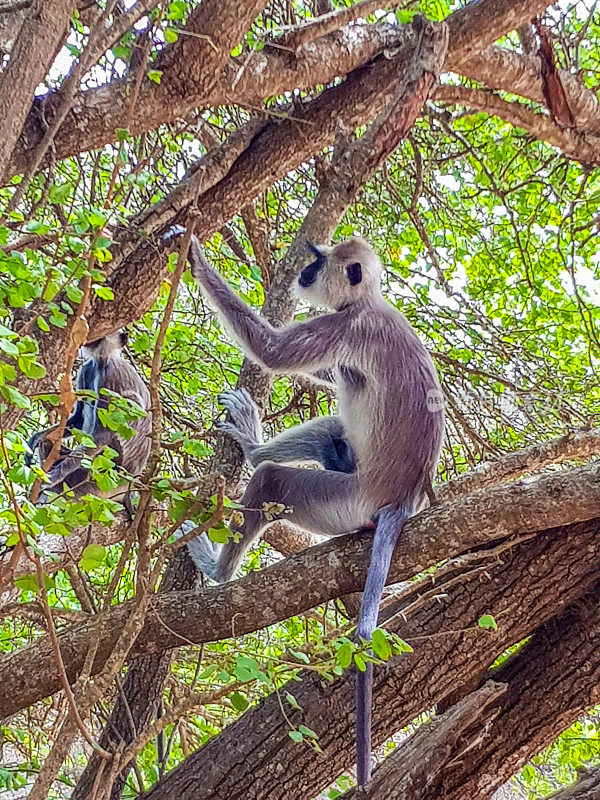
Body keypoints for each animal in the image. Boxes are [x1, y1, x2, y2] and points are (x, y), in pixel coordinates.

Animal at [25, 330, 151, 504]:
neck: (101, 362)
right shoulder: (86, 369)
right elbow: (78, 420)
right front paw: (35, 439)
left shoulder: (110, 378)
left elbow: (101, 435)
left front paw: (53, 477)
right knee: (47, 443)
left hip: (105, 476)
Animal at [185, 234, 442, 784]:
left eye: (320, 262)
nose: (304, 270)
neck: (368, 304)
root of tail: (402, 499)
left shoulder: (347, 328)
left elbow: (273, 352)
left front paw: (194, 256)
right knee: (330, 434)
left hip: (343, 502)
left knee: (272, 478)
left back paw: (220, 563)